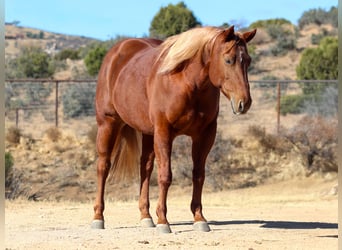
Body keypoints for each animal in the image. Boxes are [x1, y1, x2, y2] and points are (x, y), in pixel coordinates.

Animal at [92, 25, 255, 232]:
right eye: (228, 60)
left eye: (248, 61)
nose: (244, 102)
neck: (187, 82)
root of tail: (116, 53)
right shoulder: (164, 131)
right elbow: (165, 176)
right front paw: (163, 220)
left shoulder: (205, 135)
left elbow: (198, 175)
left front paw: (199, 218)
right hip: (108, 124)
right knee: (103, 166)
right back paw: (98, 217)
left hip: (147, 132)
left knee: (145, 168)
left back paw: (146, 216)